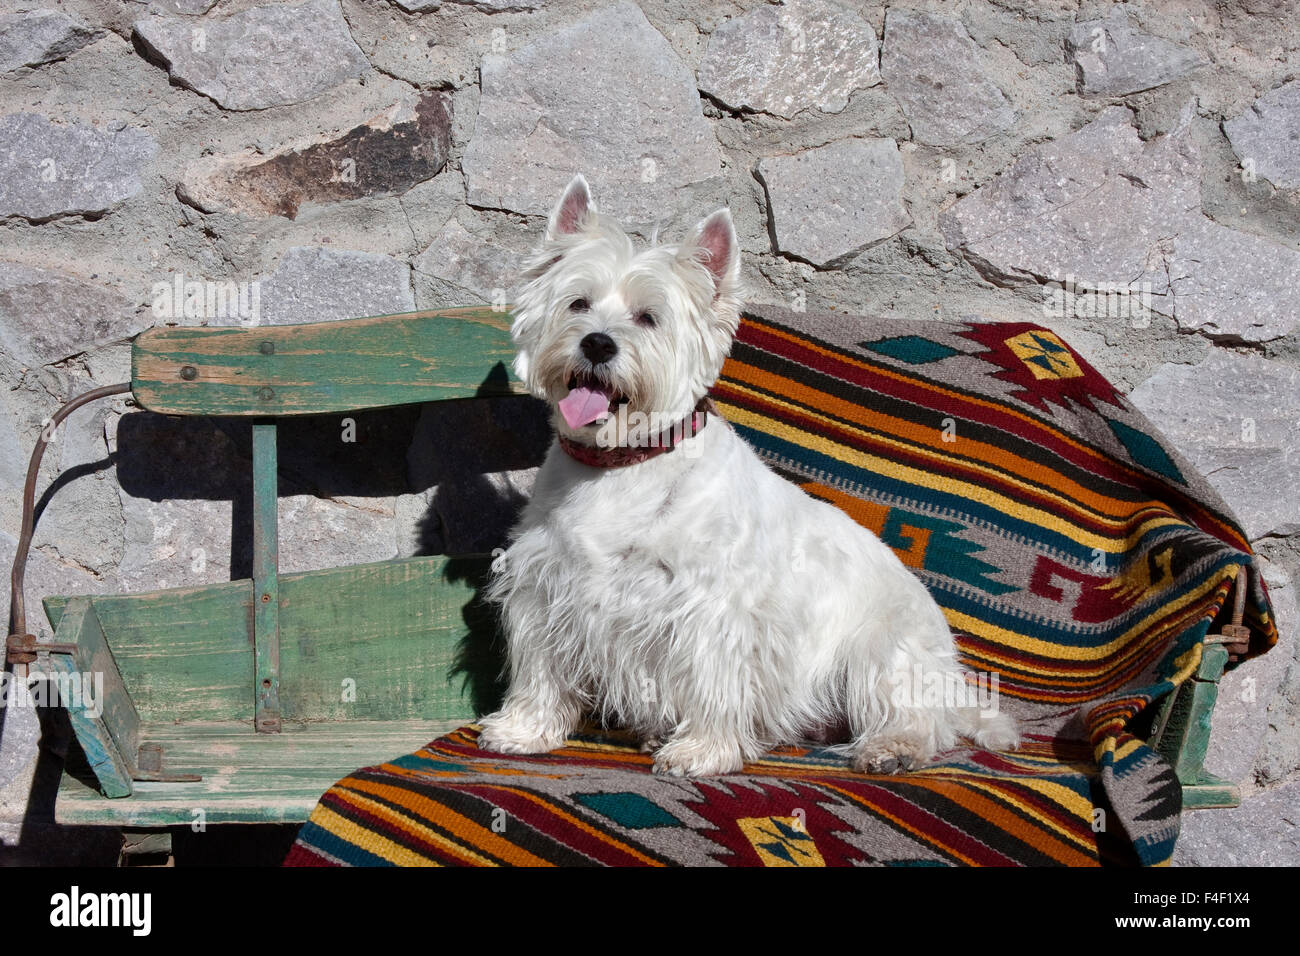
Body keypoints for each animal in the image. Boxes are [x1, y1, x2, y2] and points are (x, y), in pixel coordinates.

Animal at [475, 178, 1013, 780]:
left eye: (648, 317)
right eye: (578, 303)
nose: (596, 343)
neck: (623, 466)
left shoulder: (712, 607)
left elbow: (712, 680)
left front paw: (700, 750)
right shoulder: (546, 586)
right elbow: (541, 666)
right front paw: (523, 731)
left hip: (881, 648)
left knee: (919, 716)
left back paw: (890, 748)